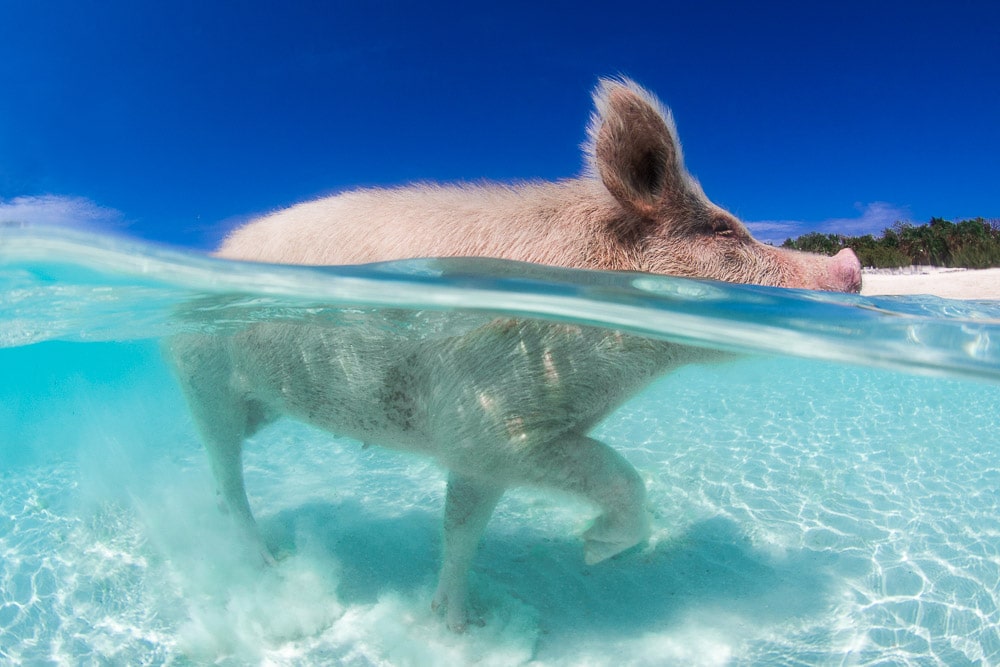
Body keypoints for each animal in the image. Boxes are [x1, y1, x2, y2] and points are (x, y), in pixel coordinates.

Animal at [168, 78, 864, 632]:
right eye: (725, 231)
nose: (851, 264)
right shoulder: (494, 428)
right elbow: (619, 478)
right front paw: (589, 555)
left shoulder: (486, 454)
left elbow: (461, 531)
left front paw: (458, 621)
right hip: (204, 382)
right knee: (227, 477)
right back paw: (267, 565)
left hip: (260, 401)